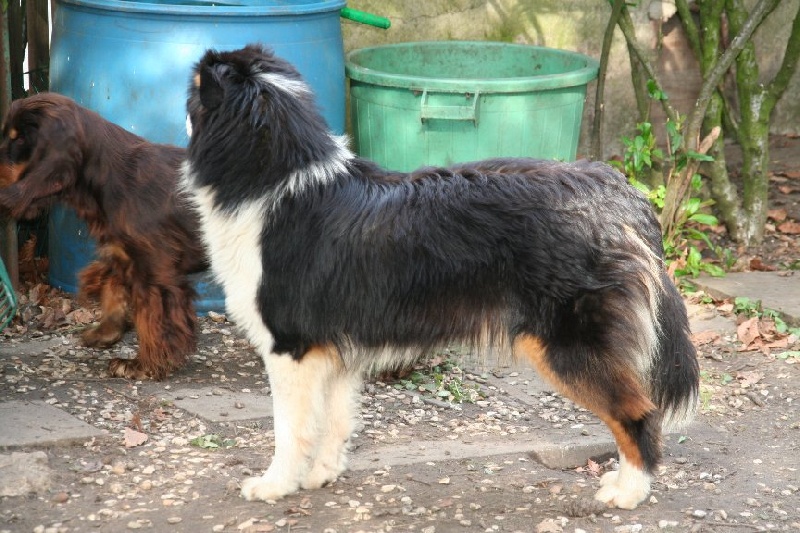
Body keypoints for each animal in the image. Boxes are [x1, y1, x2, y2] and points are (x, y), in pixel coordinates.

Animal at [0, 93, 207, 379]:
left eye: (19, 139)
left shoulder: (154, 270)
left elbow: (153, 318)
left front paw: (144, 364)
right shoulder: (121, 252)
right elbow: (112, 289)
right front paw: (105, 333)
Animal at [182, 44, 700, 510]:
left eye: (194, 88)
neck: (275, 179)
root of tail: (618, 193)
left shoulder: (290, 348)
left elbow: (290, 429)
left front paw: (274, 484)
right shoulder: (335, 349)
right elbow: (334, 420)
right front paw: (322, 474)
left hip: (568, 347)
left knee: (639, 412)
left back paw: (628, 492)